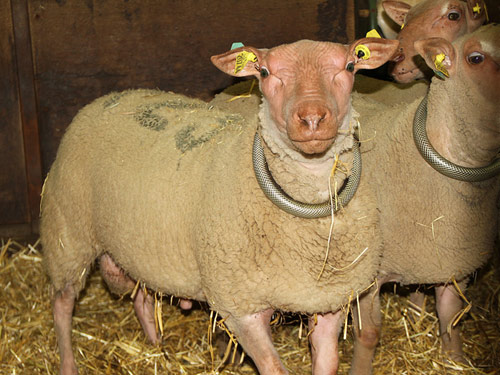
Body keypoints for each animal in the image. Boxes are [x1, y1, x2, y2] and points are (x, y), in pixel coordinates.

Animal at [40, 37, 398, 375]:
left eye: (350, 66)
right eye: (264, 72)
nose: (312, 118)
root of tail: (109, 97)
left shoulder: (330, 301)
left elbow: (328, 363)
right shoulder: (240, 307)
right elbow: (273, 368)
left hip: (139, 248)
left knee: (142, 296)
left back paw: (157, 345)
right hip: (68, 233)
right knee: (62, 304)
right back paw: (68, 363)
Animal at [348, 24, 500, 375]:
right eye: (475, 58)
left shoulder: (450, 262)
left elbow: (450, 317)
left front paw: (455, 359)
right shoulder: (367, 271)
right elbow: (368, 333)